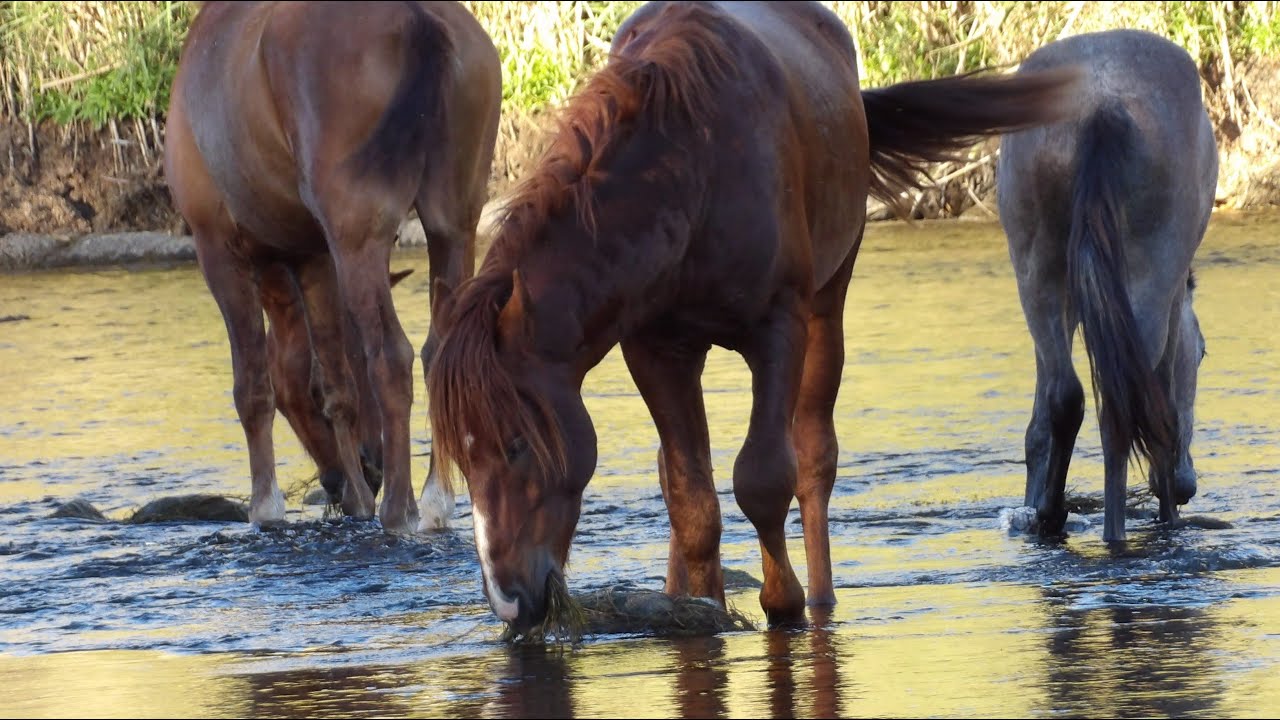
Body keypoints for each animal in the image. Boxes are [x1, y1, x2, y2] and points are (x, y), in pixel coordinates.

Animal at [164, 1, 501, 532]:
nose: (368, 469)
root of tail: (418, 17)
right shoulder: (313, 256)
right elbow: (336, 381)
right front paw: (358, 500)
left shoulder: (217, 247)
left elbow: (253, 386)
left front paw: (266, 507)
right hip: (453, 225)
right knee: (438, 352)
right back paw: (432, 499)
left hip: (357, 238)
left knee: (393, 356)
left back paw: (399, 508)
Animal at [426, 0, 1082, 632]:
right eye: (464, 456)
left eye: (516, 443)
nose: (509, 602)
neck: (692, 170)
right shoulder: (655, 350)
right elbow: (691, 499)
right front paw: (702, 606)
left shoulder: (778, 331)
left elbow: (764, 478)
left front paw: (782, 601)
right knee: (677, 472)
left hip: (826, 312)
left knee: (814, 457)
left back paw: (820, 597)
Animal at [996, 29, 1217, 543]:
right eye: (1203, 353)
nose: (1188, 485)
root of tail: (1100, 105)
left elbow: (1042, 422)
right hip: (1151, 271)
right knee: (1129, 405)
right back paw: (1123, 529)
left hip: (1037, 267)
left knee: (1069, 396)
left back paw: (1058, 515)